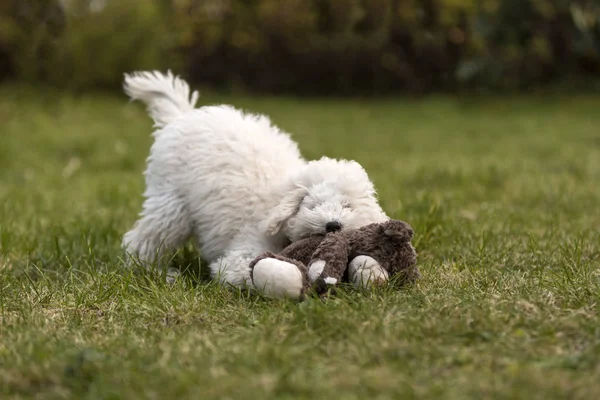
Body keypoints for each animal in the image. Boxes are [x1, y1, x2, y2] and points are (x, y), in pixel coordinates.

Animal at [122, 71, 390, 290]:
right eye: (313, 206)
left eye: (348, 206)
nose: (333, 225)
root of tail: (183, 116)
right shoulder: (244, 253)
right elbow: (252, 270)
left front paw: (370, 273)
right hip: (172, 203)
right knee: (144, 239)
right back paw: (154, 272)